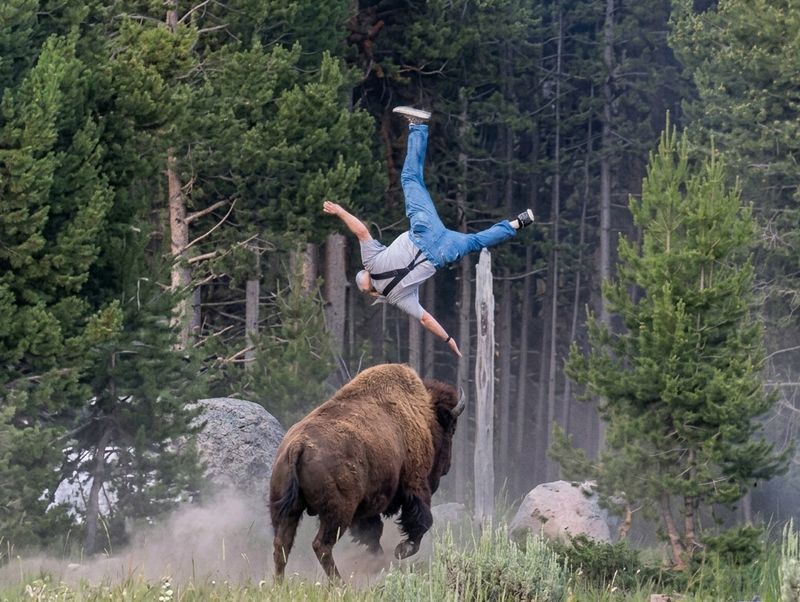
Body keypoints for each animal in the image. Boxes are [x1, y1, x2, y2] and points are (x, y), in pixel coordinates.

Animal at [269, 363, 464, 580]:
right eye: (450, 429)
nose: (446, 467)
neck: (421, 413)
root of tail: (298, 445)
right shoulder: (415, 484)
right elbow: (421, 521)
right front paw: (401, 550)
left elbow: (373, 534)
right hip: (337, 513)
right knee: (321, 545)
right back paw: (340, 583)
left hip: (286, 509)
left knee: (282, 546)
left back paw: (279, 583)